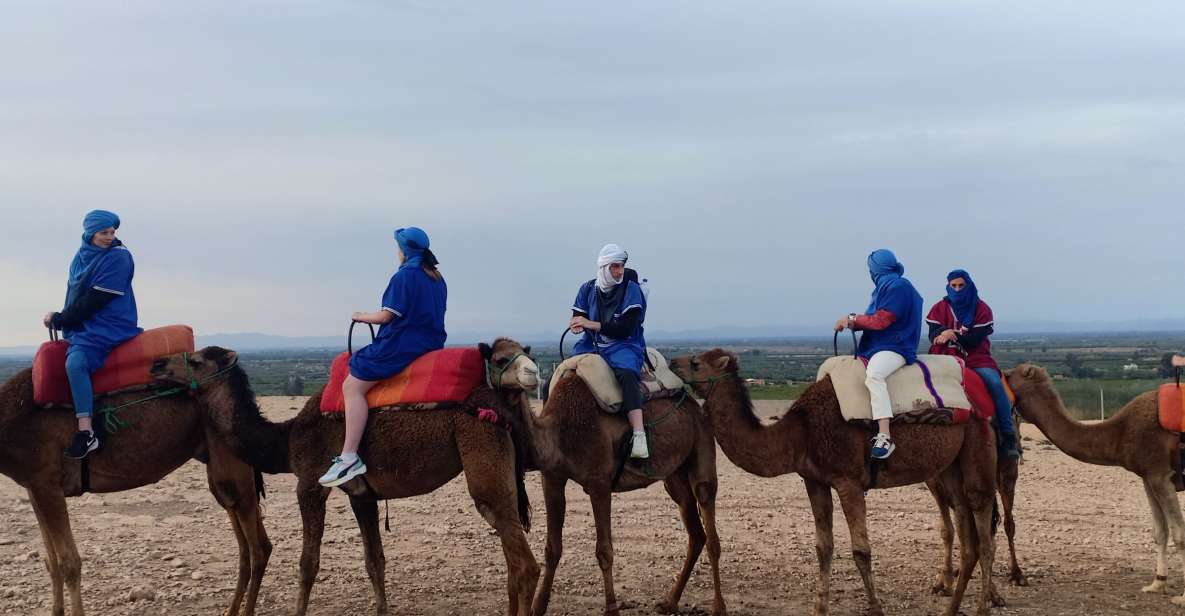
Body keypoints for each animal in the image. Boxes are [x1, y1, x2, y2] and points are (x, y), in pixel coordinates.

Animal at [0, 364, 271, 616]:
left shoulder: (46, 482)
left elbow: (69, 563)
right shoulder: (36, 486)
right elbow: (52, 561)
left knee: (256, 548)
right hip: (221, 471)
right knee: (251, 543)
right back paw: (231, 609)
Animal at [149, 345, 542, 616]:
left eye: (196, 360)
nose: (156, 365)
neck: (285, 440)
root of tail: (501, 408)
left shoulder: (309, 484)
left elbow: (308, 564)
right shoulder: (362, 496)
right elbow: (374, 561)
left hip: (482, 451)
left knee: (525, 563)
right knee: (513, 557)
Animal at [478, 336, 720, 616]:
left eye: (531, 357)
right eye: (499, 359)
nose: (531, 373)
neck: (559, 432)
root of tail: (692, 402)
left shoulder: (599, 484)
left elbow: (604, 551)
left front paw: (612, 608)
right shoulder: (552, 479)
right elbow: (552, 548)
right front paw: (539, 606)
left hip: (702, 443)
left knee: (707, 513)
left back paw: (718, 606)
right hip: (674, 474)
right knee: (695, 531)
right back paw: (669, 602)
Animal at [673, 348, 995, 616]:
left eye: (696, 363)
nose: (673, 363)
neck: (801, 432)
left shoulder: (848, 480)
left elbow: (861, 551)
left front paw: (875, 608)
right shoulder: (814, 480)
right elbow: (823, 547)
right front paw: (819, 608)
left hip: (977, 441)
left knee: (983, 521)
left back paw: (982, 607)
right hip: (950, 465)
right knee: (965, 525)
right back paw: (951, 609)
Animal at [1000, 362, 1185, 606]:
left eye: (1008, 375)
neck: (1120, 432)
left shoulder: (1160, 474)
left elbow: (1180, 535)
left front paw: (1182, 597)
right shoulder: (1148, 477)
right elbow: (1160, 532)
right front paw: (1156, 584)